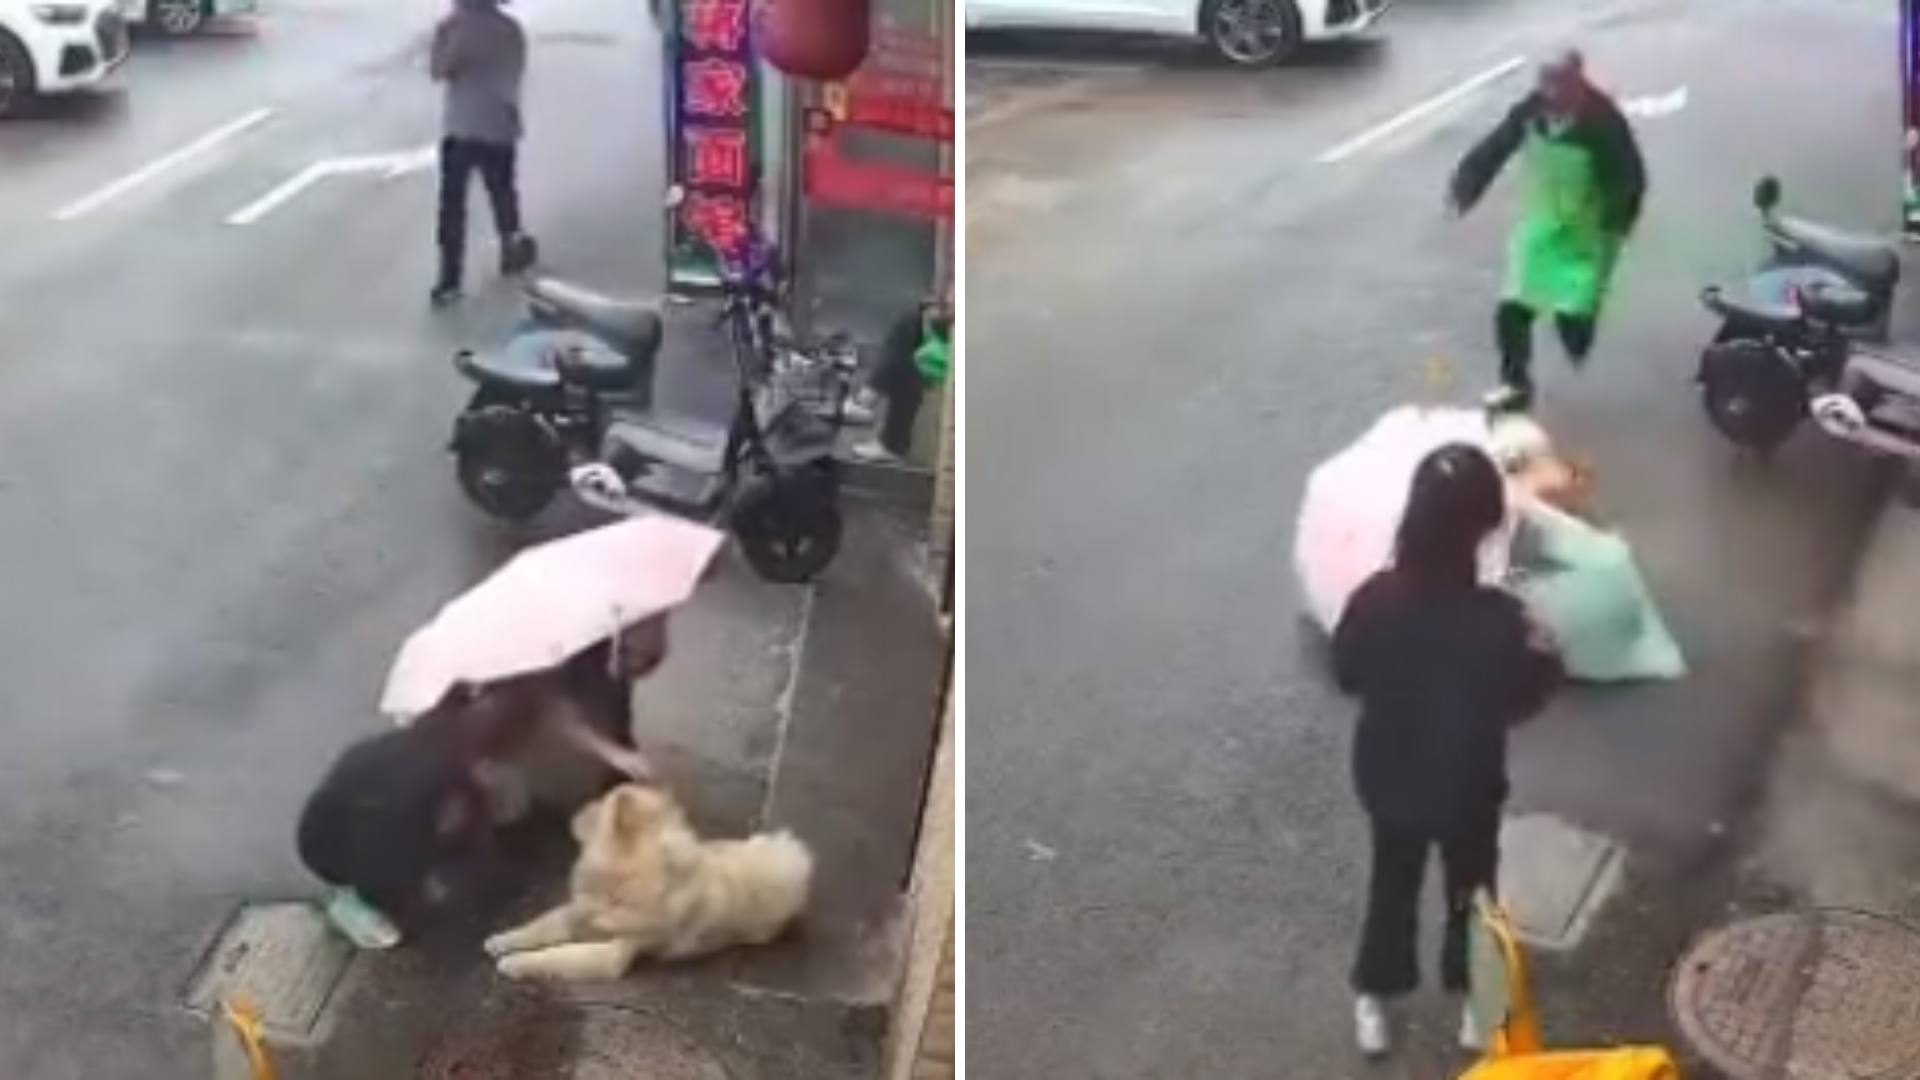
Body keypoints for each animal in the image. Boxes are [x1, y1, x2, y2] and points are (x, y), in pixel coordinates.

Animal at [483, 776, 814, 980]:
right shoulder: (577, 912)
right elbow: (541, 925)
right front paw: (505, 940)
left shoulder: (612, 953)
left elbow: (557, 956)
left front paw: (517, 963)